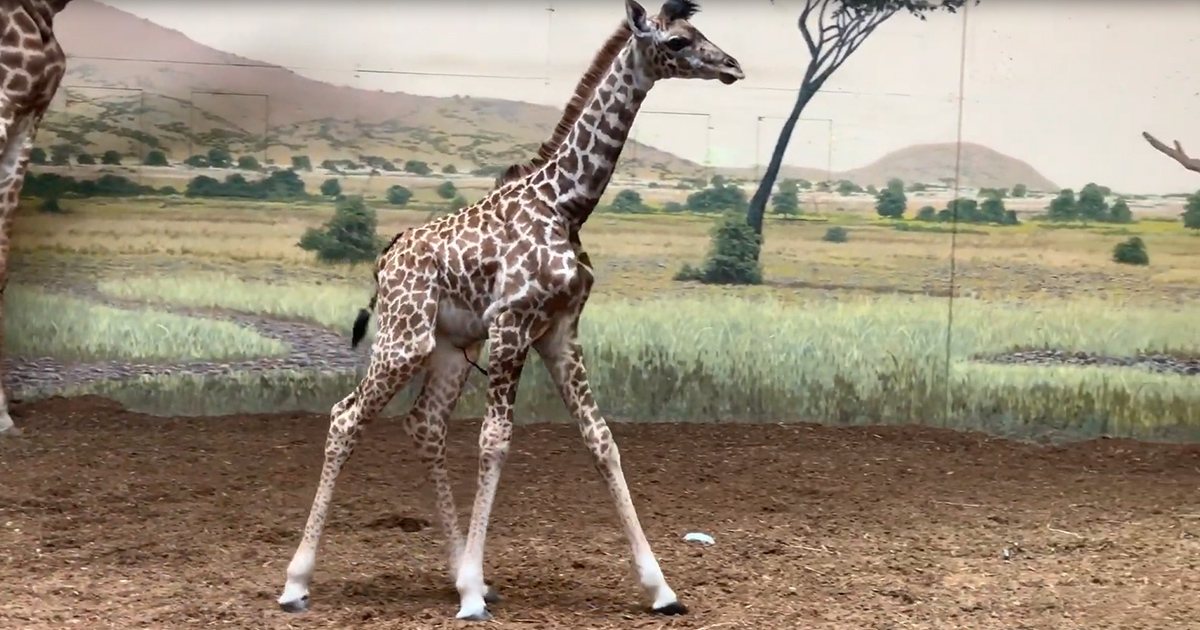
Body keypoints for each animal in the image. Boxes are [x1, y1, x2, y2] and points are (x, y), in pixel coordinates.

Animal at [276, 0, 743, 621]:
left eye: (698, 29)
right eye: (676, 41)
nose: (732, 65)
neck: (565, 205)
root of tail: (384, 259)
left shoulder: (560, 330)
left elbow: (601, 440)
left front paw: (661, 589)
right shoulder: (511, 323)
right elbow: (495, 441)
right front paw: (473, 594)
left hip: (449, 350)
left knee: (424, 425)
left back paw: (457, 573)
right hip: (405, 339)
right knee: (345, 417)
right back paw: (297, 582)